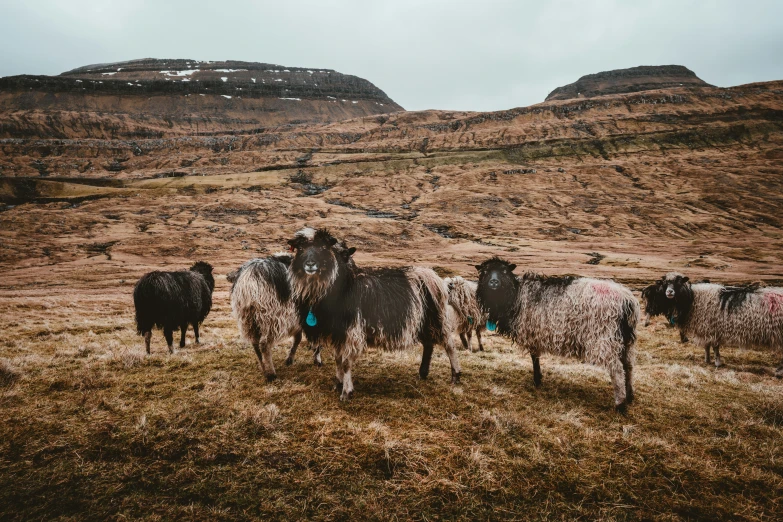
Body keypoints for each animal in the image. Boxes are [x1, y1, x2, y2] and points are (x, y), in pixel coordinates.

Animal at [286, 225, 460, 400]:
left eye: (323, 248)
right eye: (300, 248)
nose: (310, 264)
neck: (342, 286)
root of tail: (432, 275)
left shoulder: (351, 331)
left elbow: (346, 362)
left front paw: (346, 392)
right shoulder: (338, 332)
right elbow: (338, 359)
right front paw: (338, 384)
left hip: (436, 318)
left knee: (449, 345)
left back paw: (455, 376)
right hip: (421, 321)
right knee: (429, 344)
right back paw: (423, 373)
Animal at [474, 256, 640, 410]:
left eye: (504, 271)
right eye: (485, 272)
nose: (493, 283)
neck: (515, 296)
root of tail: (627, 300)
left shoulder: (531, 332)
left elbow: (534, 357)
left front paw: (537, 380)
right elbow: (535, 358)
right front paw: (538, 378)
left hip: (604, 337)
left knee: (617, 370)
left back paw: (620, 405)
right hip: (626, 341)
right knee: (628, 366)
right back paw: (630, 396)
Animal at [644, 272, 783, 374]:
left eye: (679, 282)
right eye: (665, 283)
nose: (669, 292)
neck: (693, 298)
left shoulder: (713, 327)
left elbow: (715, 346)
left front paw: (717, 362)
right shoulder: (706, 327)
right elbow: (707, 345)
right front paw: (707, 359)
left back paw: (779, 372)